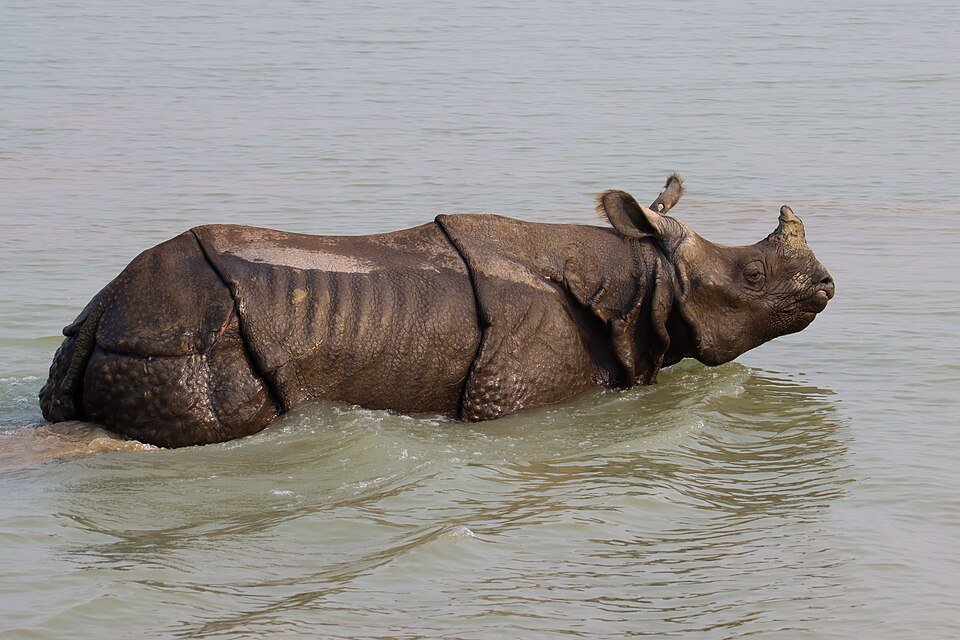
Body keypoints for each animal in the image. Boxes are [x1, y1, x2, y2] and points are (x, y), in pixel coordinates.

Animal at [39, 176, 834, 448]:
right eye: (755, 274)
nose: (827, 284)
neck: (641, 277)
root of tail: (108, 309)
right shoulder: (513, 389)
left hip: (125, 332)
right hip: (181, 343)